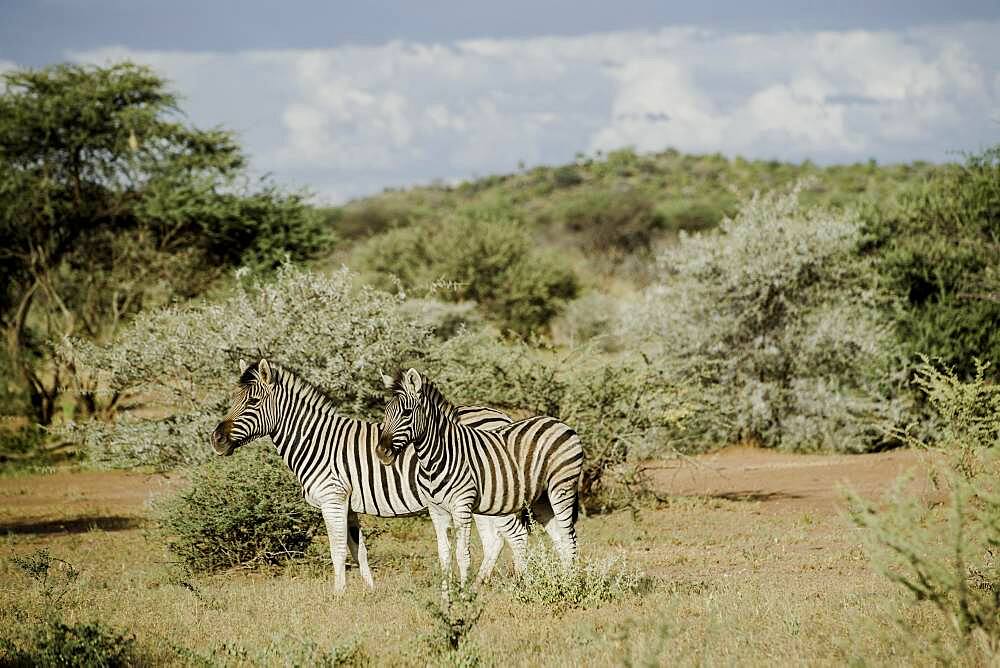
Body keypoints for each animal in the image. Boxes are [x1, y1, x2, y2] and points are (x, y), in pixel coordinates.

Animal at [208, 358, 528, 592]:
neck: (316, 441)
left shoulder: (332, 498)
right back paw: (477, 586)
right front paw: (369, 591)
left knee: (514, 535)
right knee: (495, 541)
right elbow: (357, 548)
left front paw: (338, 596)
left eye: (252, 403)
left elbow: (337, 549)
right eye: (233, 398)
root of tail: (502, 416)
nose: (216, 440)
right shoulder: (348, 504)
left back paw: (521, 585)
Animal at [376, 368, 584, 588]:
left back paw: (570, 585)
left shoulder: (462, 506)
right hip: (542, 498)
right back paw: (560, 583)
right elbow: (443, 554)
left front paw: (464, 592)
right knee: (559, 538)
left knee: (569, 538)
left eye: (407, 412)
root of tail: (558, 422)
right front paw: (446, 593)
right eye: (386, 412)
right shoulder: (436, 510)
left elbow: (462, 554)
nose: (381, 452)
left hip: (561, 487)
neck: (435, 457)